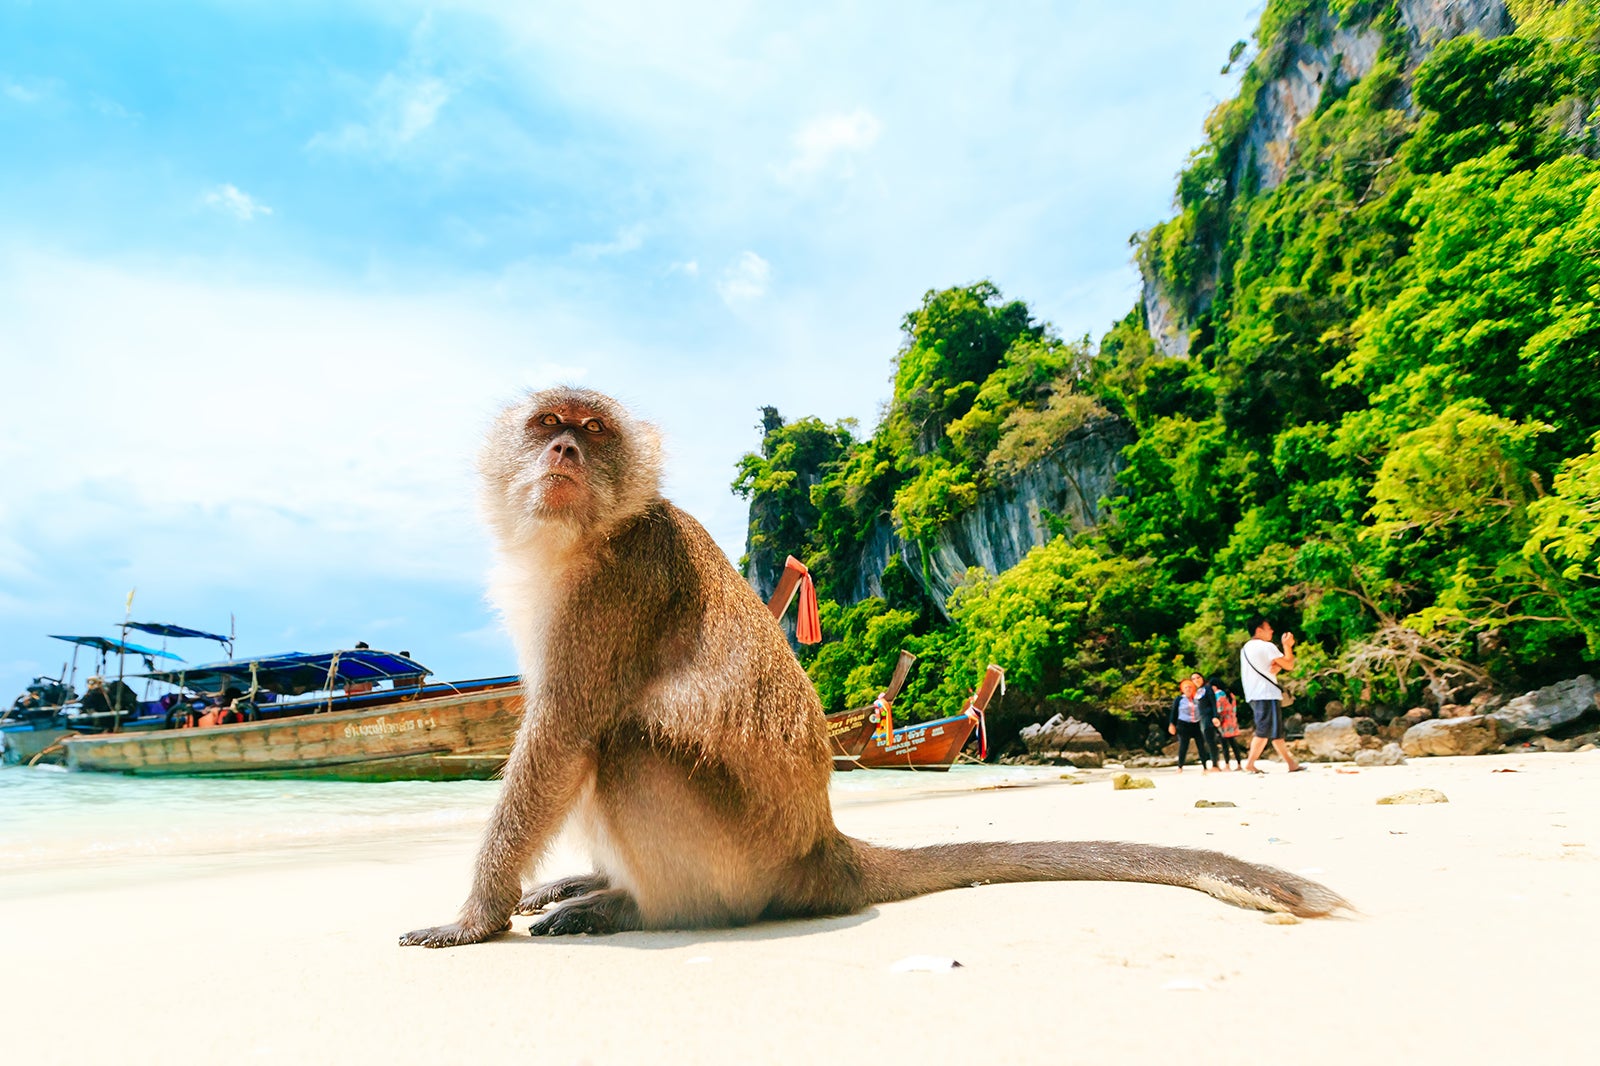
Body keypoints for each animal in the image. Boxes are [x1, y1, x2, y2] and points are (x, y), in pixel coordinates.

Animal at [396, 384, 1337, 947]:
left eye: (590, 432)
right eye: (545, 427)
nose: (563, 454)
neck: (582, 539)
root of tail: (825, 850)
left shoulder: (614, 590)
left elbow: (560, 739)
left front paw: (472, 919)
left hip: (741, 860)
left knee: (622, 745)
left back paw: (636, 906)